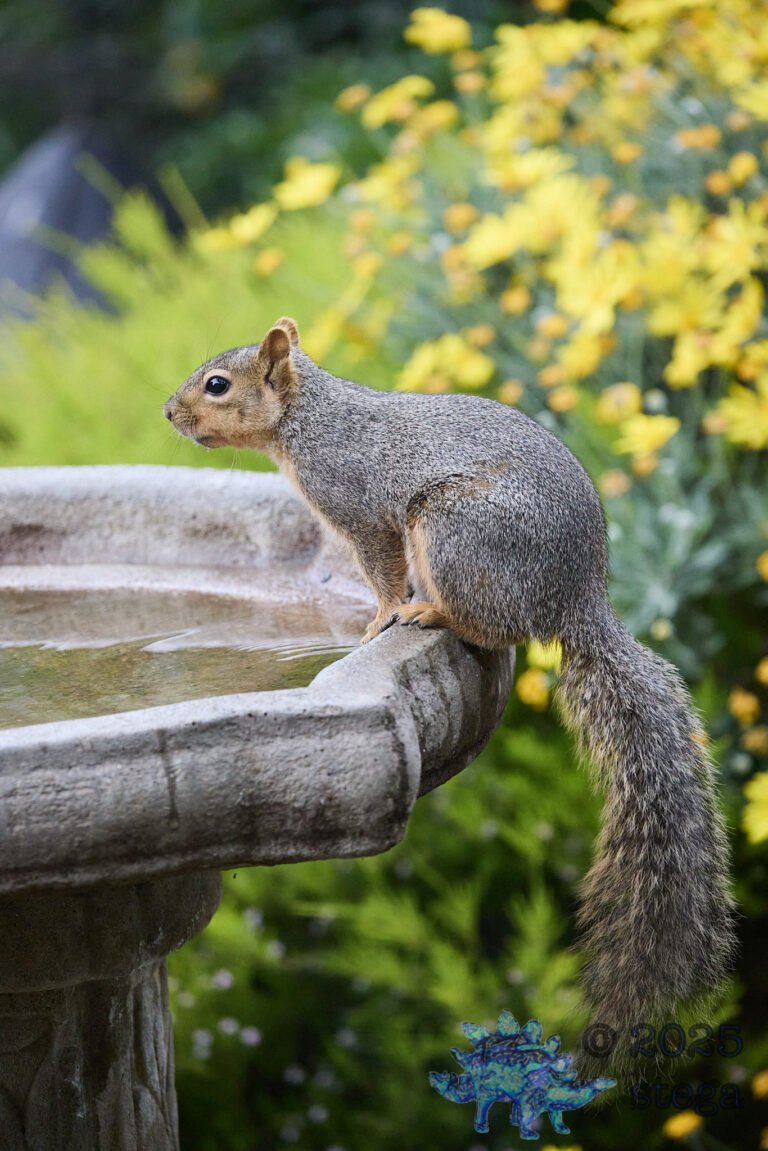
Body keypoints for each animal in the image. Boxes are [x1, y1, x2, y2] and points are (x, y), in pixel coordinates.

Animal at [164, 315, 735, 1062]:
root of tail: (576, 598)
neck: (308, 420)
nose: (167, 413)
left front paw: (378, 620)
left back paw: (430, 614)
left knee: (491, 625)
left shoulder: (363, 511)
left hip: (455, 531)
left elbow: (382, 573)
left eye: (217, 385)